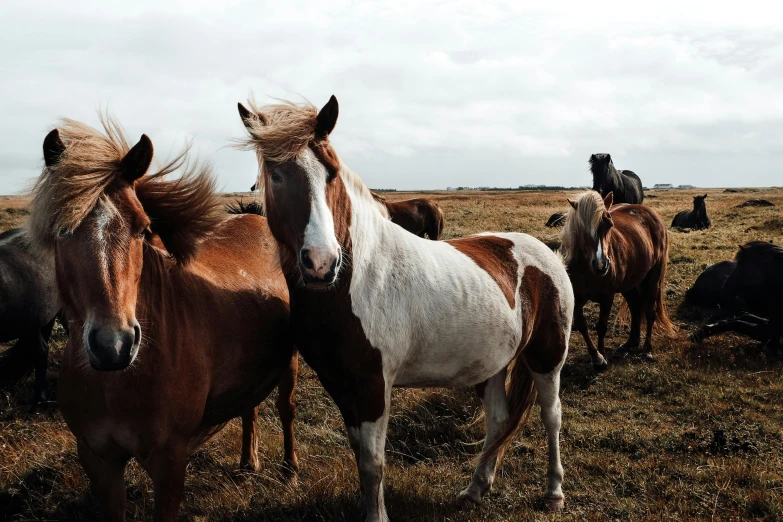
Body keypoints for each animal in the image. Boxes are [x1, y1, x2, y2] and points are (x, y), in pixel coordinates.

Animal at [28, 118, 298, 520]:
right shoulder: (99, 460)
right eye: (62, 231)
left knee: (286, 409)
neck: (117, 384)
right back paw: (248, 464)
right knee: (249, 407)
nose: (113, 346)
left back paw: (289, 471)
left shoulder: (170, 462)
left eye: (142, 228)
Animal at [239, 95, 576, 516]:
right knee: (498, 422)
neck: (356, 280)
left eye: (331, 173)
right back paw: (476, 489)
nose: (320, 262)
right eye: (276, 175)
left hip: (548, 357)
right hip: (494, 364)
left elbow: (373, 463)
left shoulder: (373, 386)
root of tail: (547, 256)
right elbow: (360, 457)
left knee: (552, 416)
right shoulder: (341, 385)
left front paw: (376, 513)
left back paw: (554, 492)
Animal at [560, 189, 672, 368]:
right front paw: (596, 356)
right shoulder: (577, 299)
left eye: (609, 225)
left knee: (649, 311)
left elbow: (601, 327)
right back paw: (630, 344)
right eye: (583, 230)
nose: (601, 265)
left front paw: (602, 356)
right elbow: (583, 326)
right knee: (635, 306)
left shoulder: (607, 297)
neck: (587, 270)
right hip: (630, 284)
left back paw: (647, 349)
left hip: (653, 278)